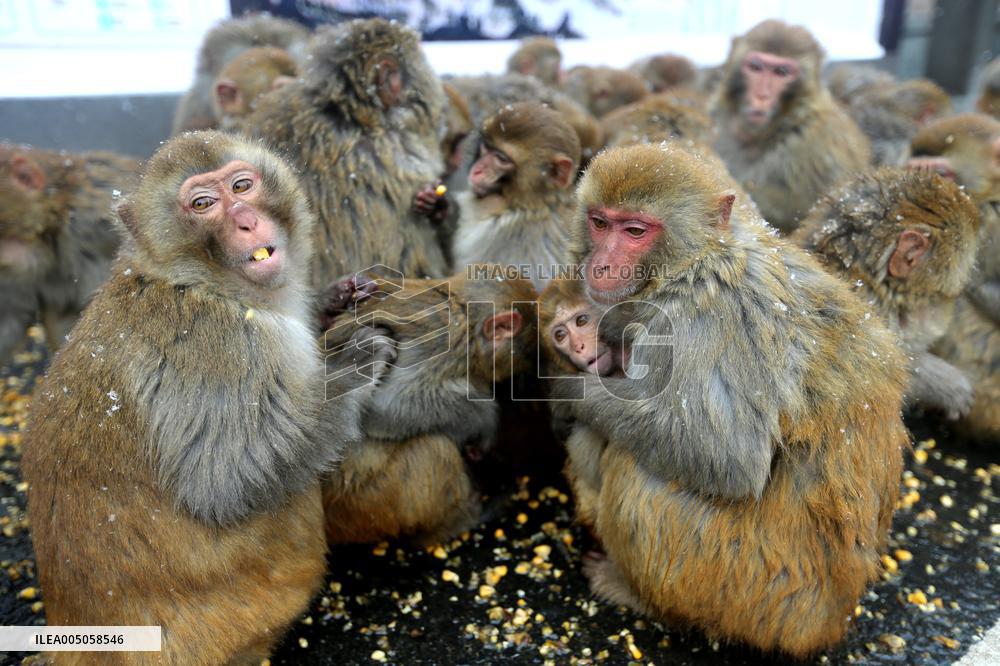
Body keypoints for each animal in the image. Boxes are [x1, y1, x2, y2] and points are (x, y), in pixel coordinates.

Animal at [20, 132, 394, 664]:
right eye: (202, 204)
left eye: (242, 185)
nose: (245, 220)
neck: (194, 281)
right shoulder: (221, 347)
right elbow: (224, 483)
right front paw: (352, 364)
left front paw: (331, 300)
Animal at [319, 271, 537, 545]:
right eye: (527, 353)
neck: (460, 305)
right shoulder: (445, 338)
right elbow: (386, 405)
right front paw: (484, 419)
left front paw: (346, 292)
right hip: (365, 505)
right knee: (436, 448)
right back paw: (458, 522)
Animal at [551, 143, 908, 657]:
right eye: (600, 222)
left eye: (635, 231)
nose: (599, 266)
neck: (697, 257)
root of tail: (828, 622)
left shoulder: (704, 316)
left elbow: (728, 457)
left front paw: (567, 391)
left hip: (741, 583)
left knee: (635, 467)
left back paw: (637, 595)